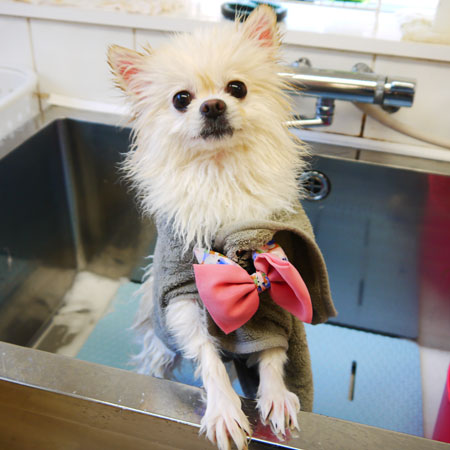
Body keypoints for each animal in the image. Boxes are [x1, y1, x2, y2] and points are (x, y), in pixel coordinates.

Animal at [108, 6, 335, 450]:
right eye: (181, 99)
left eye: (237, 88)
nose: (213, 105)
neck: (221, 174)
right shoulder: (181, 293)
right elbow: (207, 355)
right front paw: (225, 410)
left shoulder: (273, 288)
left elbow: (272, 353)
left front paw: (277, 396)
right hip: (160, 344)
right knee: (156, 360)